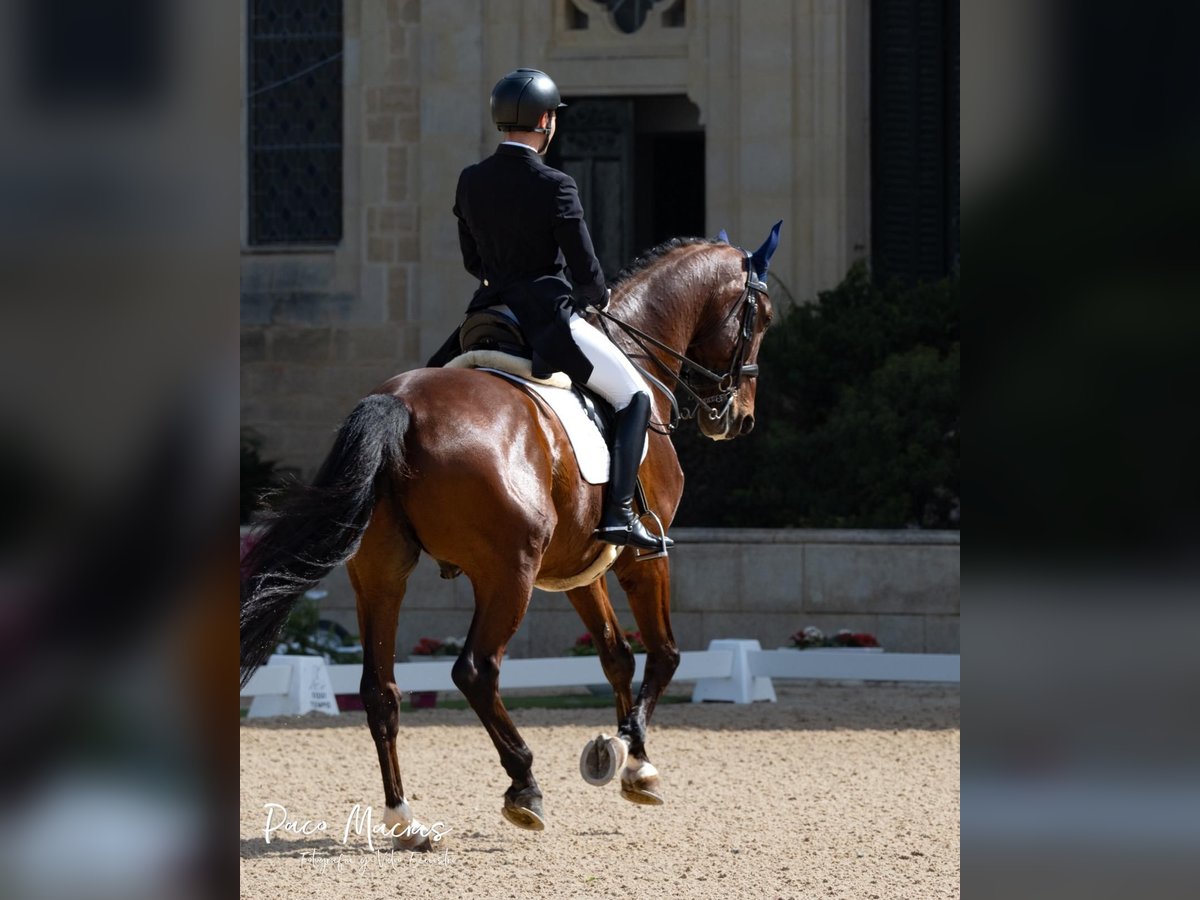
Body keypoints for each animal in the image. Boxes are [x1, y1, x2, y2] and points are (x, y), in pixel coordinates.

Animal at [238, 225, 782, 854]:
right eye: (762, 316)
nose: (737, 418)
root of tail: (401, 405)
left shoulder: (580, 565)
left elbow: (615, 655)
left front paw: (621, 753)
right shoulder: (641, 557)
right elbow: (664, 653)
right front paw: (632, 759)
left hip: (380, 574)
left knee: (380, 688)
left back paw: (405, 819)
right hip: (507, 574)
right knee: (475, 670)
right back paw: (524, 786)